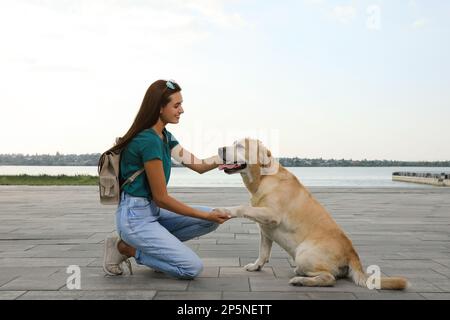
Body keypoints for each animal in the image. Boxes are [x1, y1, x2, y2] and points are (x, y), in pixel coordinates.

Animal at [214, 138, 408, 290]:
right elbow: (263, 252)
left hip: (303, 253)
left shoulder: (272, 214)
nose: (220, 148)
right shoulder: (265, 229)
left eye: (240, 146)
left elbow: (242, 207)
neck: (264, 177)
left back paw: (300, 280)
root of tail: (352, 254)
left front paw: (225, 210)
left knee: (329, 278)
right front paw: (256, 266)